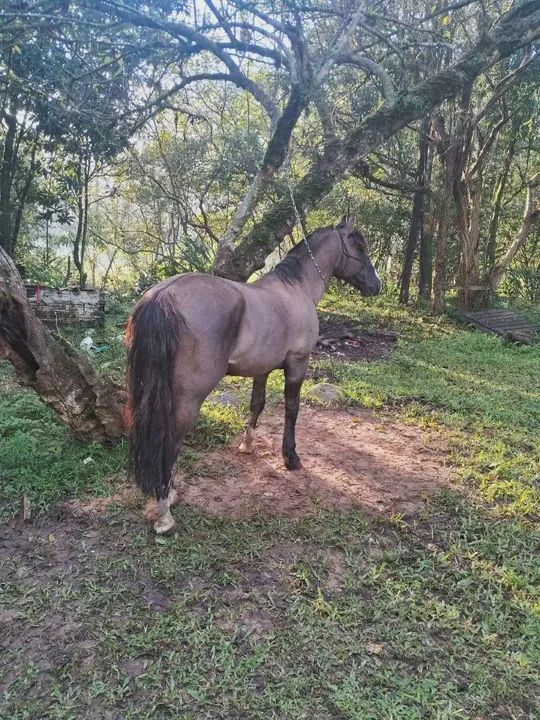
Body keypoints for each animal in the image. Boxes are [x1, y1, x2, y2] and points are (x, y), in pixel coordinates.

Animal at [125, 218, 381, 533]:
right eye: (359, 246)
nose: (377, 285)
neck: (296, 288)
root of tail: (163, 295)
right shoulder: (298, 364)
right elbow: (291, 409)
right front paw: (291, 457)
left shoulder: (262, 369)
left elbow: (256, 405)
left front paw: (247, 445)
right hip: (189, 397)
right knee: (171, 438)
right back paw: (163, 510)